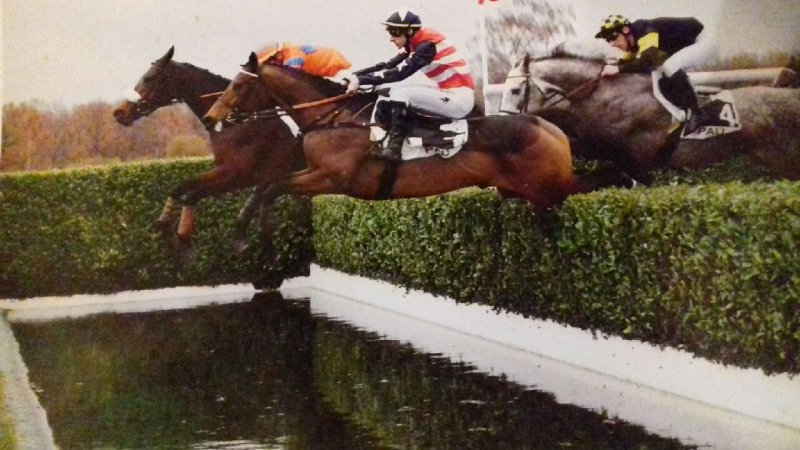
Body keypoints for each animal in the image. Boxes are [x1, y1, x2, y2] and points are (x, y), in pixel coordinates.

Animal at [113, 47, 305, 264]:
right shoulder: (231, 172)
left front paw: (184, 241)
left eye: (149, 78)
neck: (232, 122)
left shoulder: (238, 173)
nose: (119, 112)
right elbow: (180, 188)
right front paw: (167, 230)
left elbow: (192, 194)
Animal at [201, 52, 632, 242]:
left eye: (236, 85)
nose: (209, 117)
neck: (334, 118)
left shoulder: (332, 178)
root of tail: (548, 126)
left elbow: (274, 186)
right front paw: (246, 225)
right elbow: (265, 185)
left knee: (596, 181)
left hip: (548, 189)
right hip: (522, 191)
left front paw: (250, 231)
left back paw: (625, 182)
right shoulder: (314, 173)